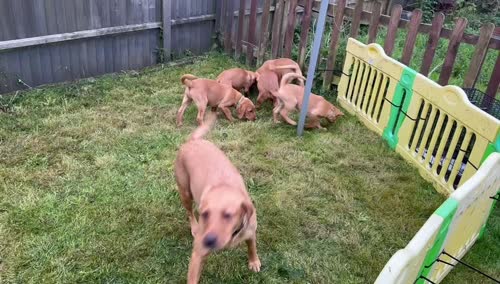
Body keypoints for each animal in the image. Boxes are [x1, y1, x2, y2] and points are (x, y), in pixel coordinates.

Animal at [175, 111, 262, 284]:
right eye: (205, 214)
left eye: (227, 215)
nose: (208, 240)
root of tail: (192, 141)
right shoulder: (198, 254)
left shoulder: (250, 231)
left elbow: (252, 246)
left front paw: (254, 261)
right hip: (185, 193)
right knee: (189, 212)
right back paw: (194, 226)